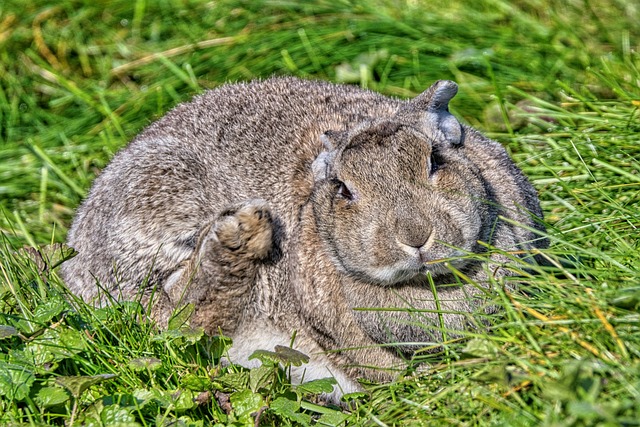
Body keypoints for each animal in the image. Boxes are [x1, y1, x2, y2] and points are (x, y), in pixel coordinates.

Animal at [60, 76, 548, 398]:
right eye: (344, 189)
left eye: (435, 161)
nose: (415, 236)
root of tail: (77, 257)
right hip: (164, 196)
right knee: (179, 316)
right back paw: (242, 234)